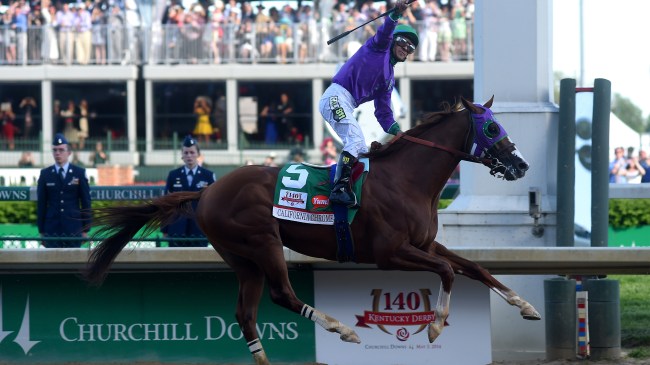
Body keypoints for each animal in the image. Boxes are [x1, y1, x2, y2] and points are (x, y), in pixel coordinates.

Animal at [87, 96, 540, 364]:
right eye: (493, 128)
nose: (521, 165)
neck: (406, 179)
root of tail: (209, 188)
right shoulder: (389, 252)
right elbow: (447, 272)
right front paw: (434, 325)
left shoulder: (426, 243)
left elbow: (474, 268)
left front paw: (525, 305)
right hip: (263, 242)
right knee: (282, 295)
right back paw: (342, 329)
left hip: (243, 260)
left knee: (245, 314)